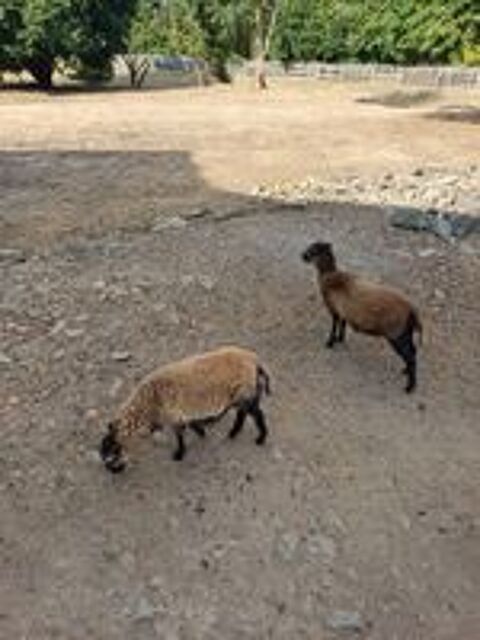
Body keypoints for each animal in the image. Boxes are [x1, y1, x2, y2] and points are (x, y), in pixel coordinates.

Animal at [99, 346, 271, 473]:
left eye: (112, 455)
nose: (112, 472)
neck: (150, 402)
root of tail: (255, 361)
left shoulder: (174, 417)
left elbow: (180, 436)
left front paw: (179, 455)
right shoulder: (182, 416)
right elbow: (193, 425)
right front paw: (202, 433)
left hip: (246, 395)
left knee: (258, 415)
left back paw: (260, 438)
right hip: (241, 397)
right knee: (242, 414)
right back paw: (233, 433)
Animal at [302, 241, 422, 393]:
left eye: (314, 250)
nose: (302, 255)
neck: (330, 276)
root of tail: (412, 310)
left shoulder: (333, 308)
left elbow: (335, 324)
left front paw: (330, 343)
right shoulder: (344, 310)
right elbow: (343, 323)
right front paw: (340, 339)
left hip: (396, 334)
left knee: (410, 357)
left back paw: (409, 387)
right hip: (406, 333)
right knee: (413, 351)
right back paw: (405, 371)